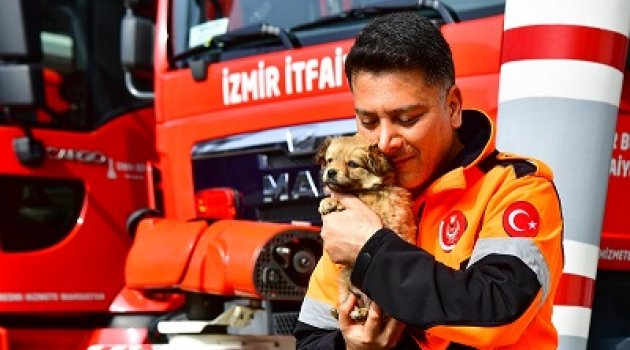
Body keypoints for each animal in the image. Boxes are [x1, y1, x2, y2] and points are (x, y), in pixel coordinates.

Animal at [316, 133, 420, 322]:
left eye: (352, 164)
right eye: (329, 161)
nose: (331, 172)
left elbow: (357, 197)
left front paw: (333, 202)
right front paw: (328, 202)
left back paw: (362, 313)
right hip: (345, 278)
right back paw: (341, 311)